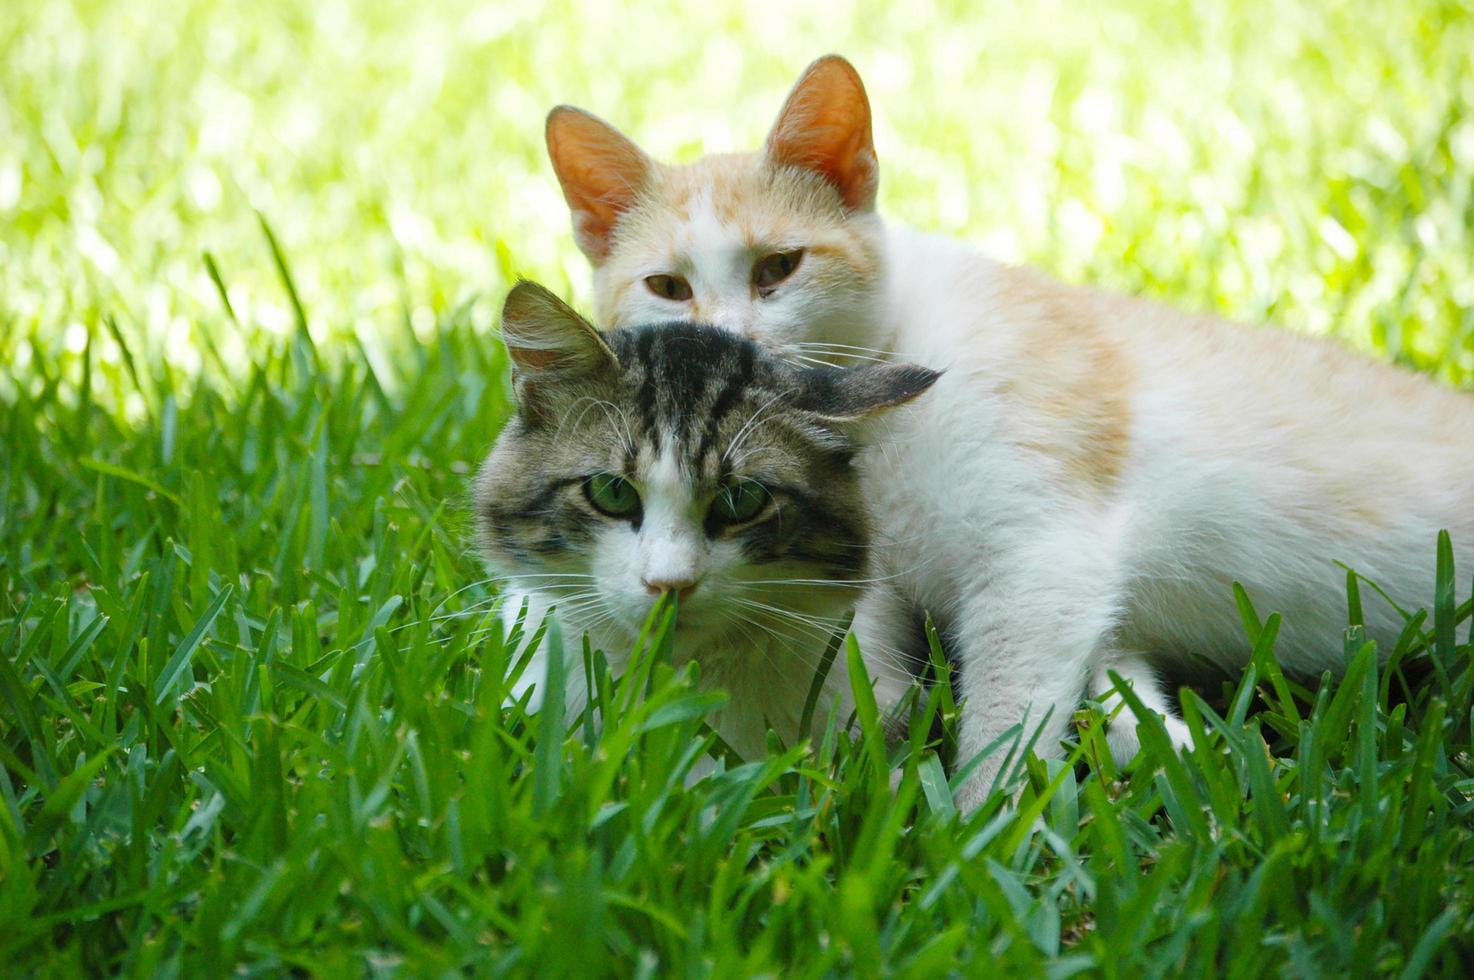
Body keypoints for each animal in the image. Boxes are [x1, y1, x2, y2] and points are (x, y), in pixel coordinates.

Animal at [542, 49, 1474, 807]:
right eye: (668, 288)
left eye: (779, 268)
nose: (728, 345)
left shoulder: (1041, 548)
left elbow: (1007, 709)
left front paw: (975, 837)